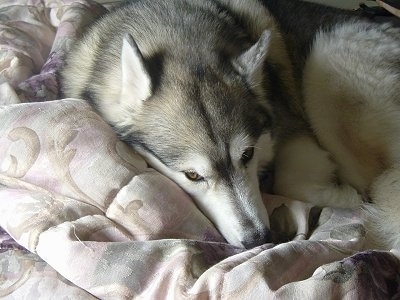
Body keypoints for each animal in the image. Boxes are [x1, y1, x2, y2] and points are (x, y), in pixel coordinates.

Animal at [61, 0, 400, 248]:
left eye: (247, 155)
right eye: (192, 175)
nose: (258, 240)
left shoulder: (294, 130)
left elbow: (287, 181)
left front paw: (347, 199)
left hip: (325, 67)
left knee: (372, 179)